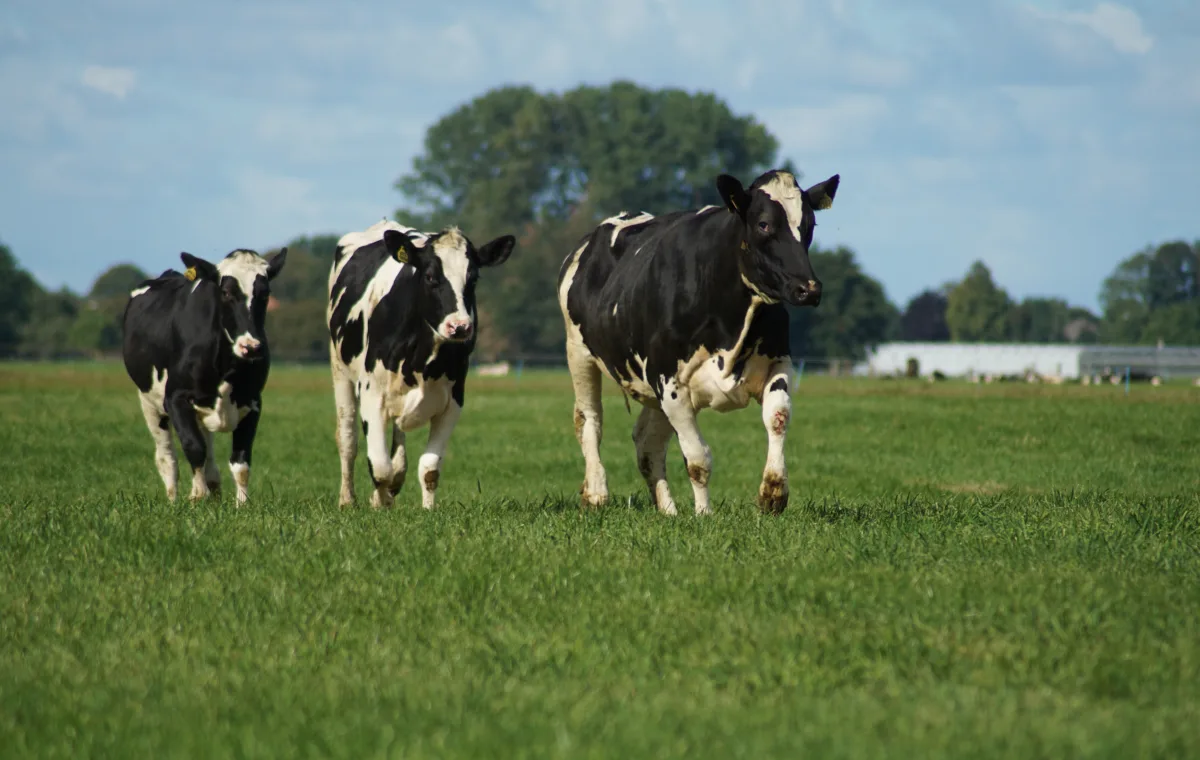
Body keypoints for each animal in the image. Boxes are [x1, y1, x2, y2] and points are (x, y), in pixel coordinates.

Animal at [122, 247, 287, 504]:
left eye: (265, 293)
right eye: (226, 292)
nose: (251, 347)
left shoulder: (253, 401)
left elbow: (241, 460)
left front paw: (242, 505)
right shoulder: (176, 398)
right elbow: (193, 447)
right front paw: (197, 495)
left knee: (208, 450)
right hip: (150, 403)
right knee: (167, 457)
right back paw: (174, 499)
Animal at [327, 220, 515, 509]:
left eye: (473, 278)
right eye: (429, 277)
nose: (459, 326)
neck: (423, 357)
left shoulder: (453, 400)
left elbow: (429, 468)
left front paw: (427, 510)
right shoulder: (372, 393)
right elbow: (379, 466)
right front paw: (380, 503)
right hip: (340, 371)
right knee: (348, 438)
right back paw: (348, 500)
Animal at [557, 169, 840, 516]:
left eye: (809, 225)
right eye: (763, 224)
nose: (808, 288)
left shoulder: (778, 360)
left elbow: (778, 417)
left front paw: (773, 492)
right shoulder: (669, 382)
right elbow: (697, 460)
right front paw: (704, 515)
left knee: (647, 442)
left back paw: (668, 511)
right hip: (579, 353)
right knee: (589, 420)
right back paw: (597, 493)